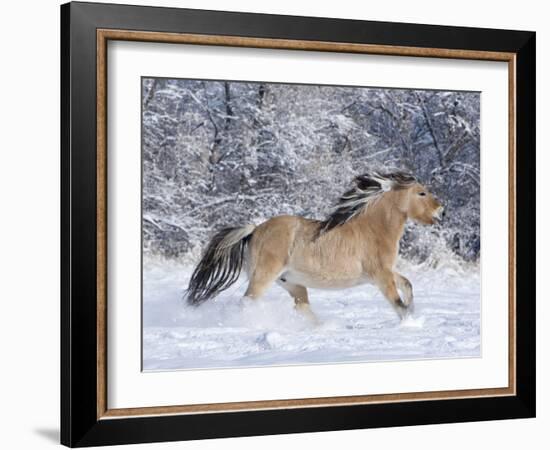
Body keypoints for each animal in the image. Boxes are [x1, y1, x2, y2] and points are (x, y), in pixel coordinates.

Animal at [185, 171, 444, 322]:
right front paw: (410, 323)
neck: (373, 230)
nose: (442, 211)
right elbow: (398, 305)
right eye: (422, 193)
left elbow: (407, 285)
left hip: (293, 284)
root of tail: (254, 230)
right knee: (247, 303)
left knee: (302, 308)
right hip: (264, 277)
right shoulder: (381, 276)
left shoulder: (386, 272)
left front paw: (413, 310)